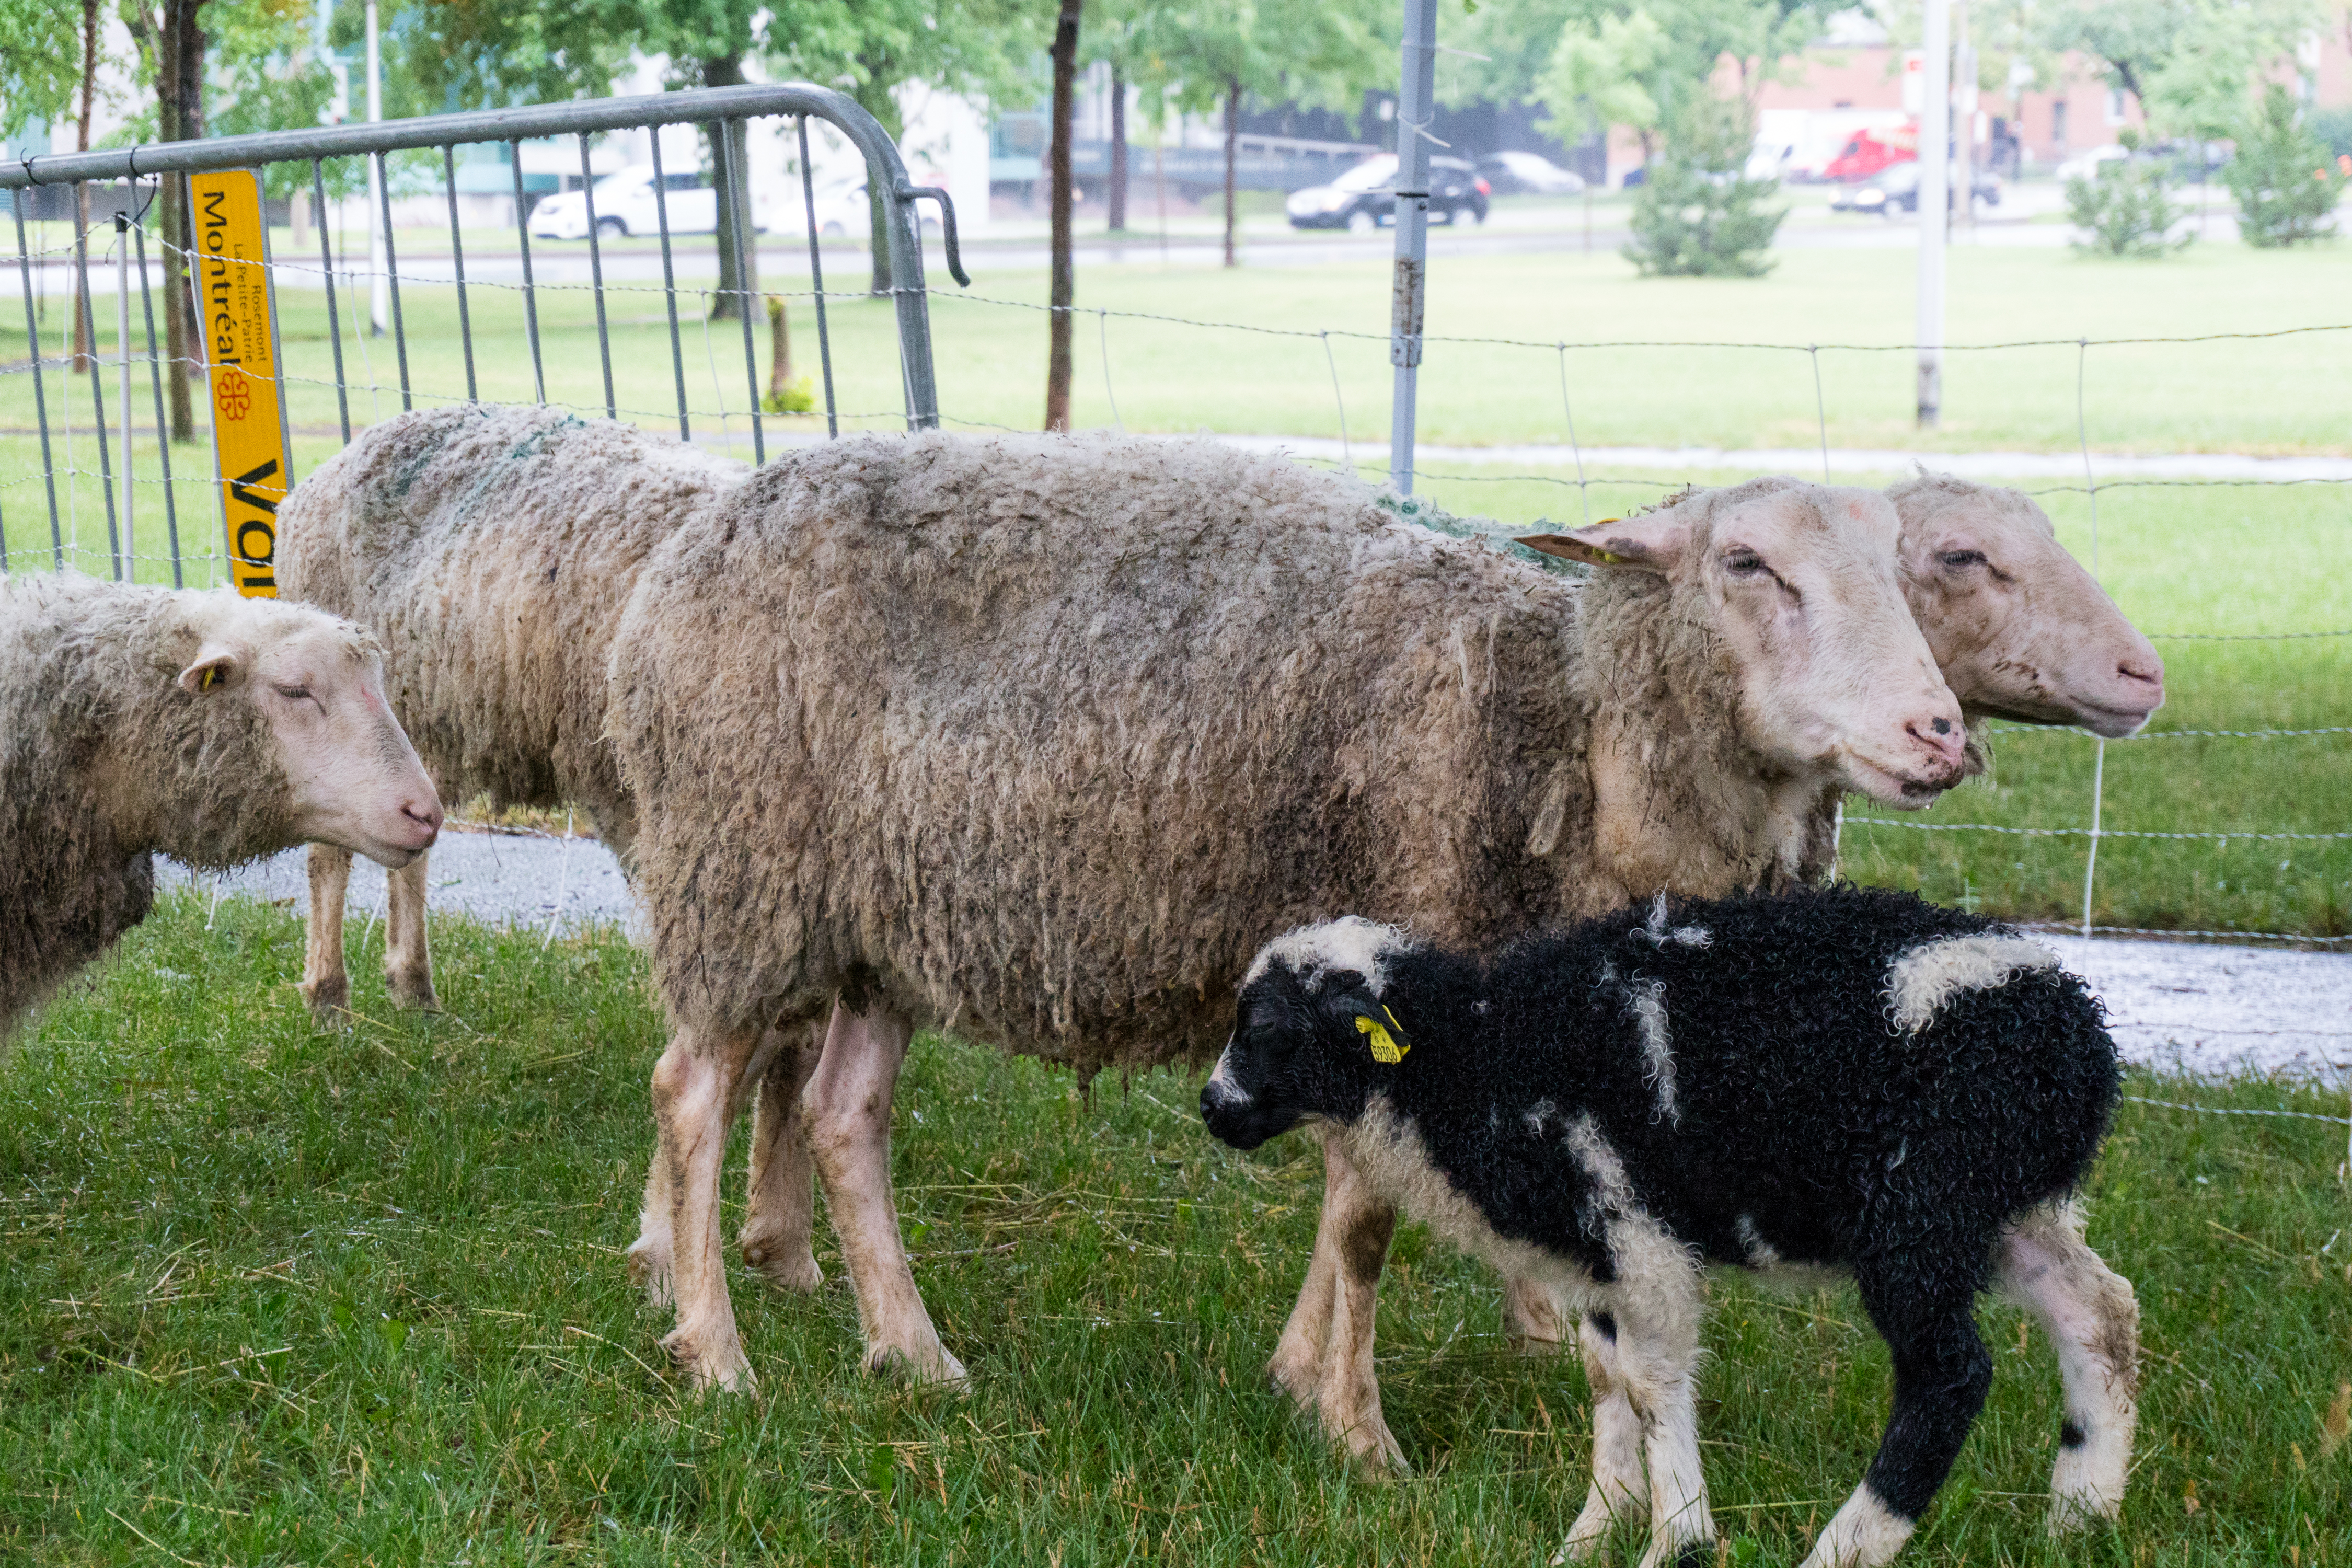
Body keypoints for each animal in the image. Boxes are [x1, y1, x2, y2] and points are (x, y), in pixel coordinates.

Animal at [605, 430, 1977, 1394]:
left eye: (1902, 571)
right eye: (1746, 564)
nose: (1940, 734)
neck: (1567, 728)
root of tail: (689, 544)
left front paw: (1494, 1335)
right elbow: (1358, 1204)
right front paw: (1330, 1393)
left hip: (886, 921)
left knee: (843, 1115)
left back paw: (914, 1353)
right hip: (745, 867)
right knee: (691, 1089)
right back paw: (716, 1350)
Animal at [1201, 888, 2136, 1568]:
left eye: (1270, 1030)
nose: (1212, 1108)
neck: (1480, 1059)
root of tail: (2082, 1043)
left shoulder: (1637, 1231)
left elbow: (1651, 1383)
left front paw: (1676, 1540)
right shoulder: (1596, 1253)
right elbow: (1605, 1373)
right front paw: (1593, 1534)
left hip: (1922, 1204)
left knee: (1950, 1374)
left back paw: (1850, 1547)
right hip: (2001, 1205)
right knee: (2101, 1311)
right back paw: (2081, 1518)